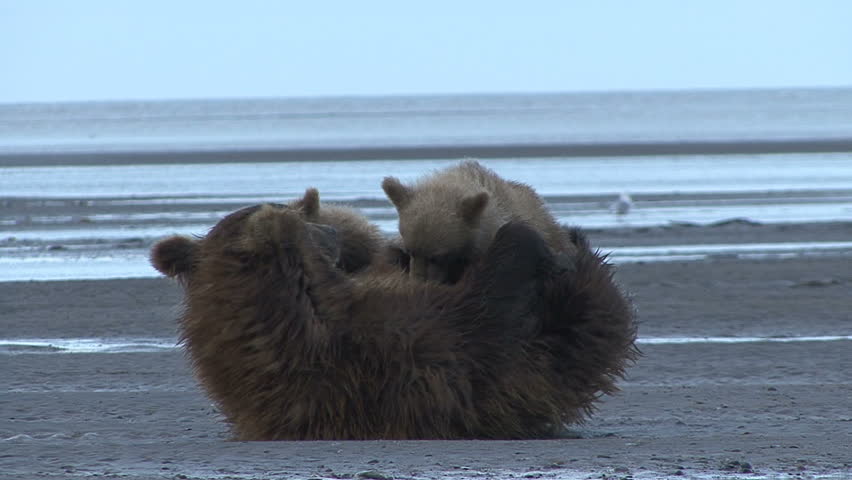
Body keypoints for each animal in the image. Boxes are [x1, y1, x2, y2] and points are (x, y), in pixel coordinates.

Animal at [150, 203, 637, 441]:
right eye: (304, 223)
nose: (332, 230)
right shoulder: (402, 349)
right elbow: (485, 317)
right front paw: (527, 239)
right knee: (592, 308)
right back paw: (576, 247)